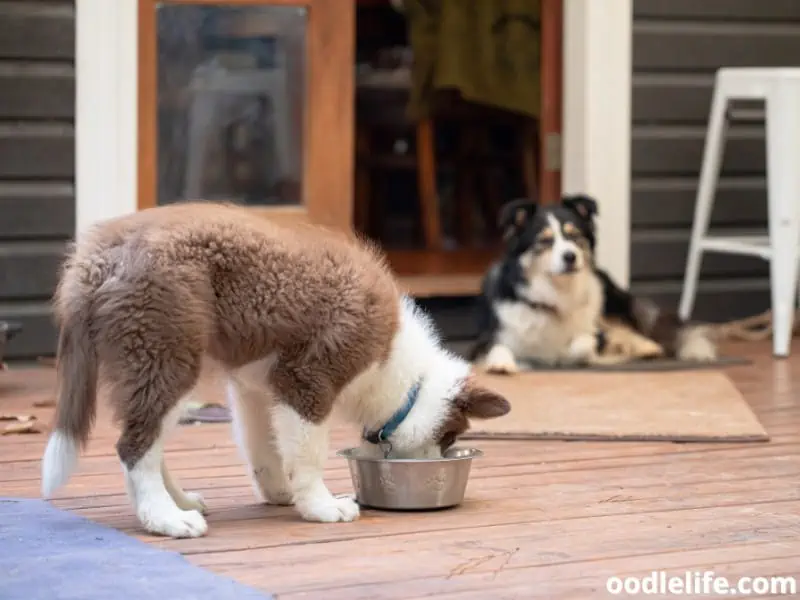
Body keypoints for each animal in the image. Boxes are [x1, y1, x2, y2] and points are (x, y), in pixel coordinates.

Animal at [40, 203, 510, 540]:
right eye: (449, 438)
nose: (437, 462)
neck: (402, 372)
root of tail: (95, 259)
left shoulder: (256, 390)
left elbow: (262, 446)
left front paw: (281, 493)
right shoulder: (307, 379)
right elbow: (309, 452)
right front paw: (321, 506)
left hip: (159, 363)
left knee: (147, 440)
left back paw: (180, 503)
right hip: (164, 353)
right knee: (133, 446)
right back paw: (165, 518)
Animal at [466, 195, 716, 372]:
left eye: (574, 236)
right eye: (545, 240)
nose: (570, 256)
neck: (556, 296)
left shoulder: (595, 333)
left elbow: (584, 342)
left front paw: (576, 353)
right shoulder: (485, 341)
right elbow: (497, 348)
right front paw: (500, 364)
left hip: (609, 306)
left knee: (635, 333)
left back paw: (643, 348)